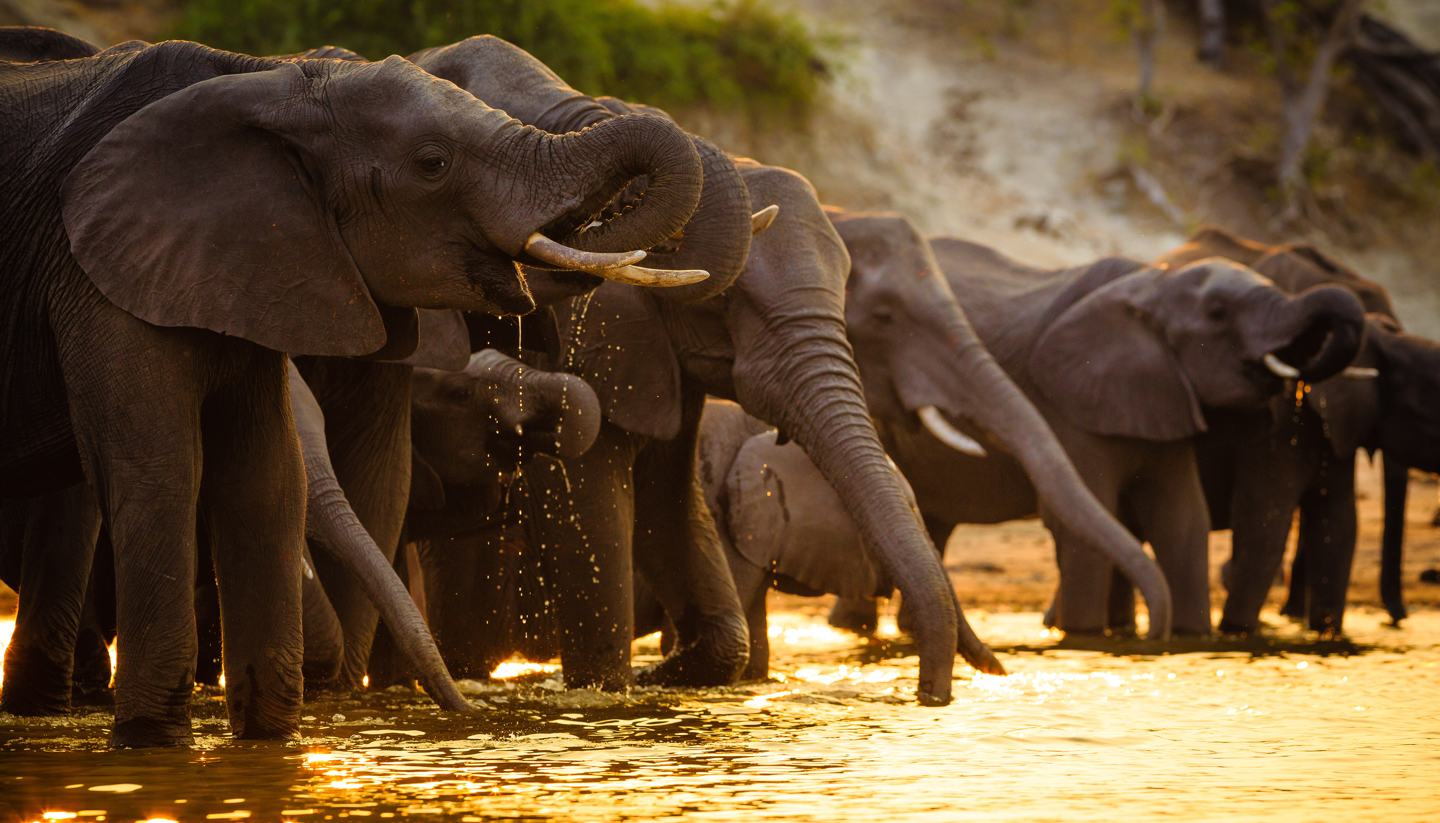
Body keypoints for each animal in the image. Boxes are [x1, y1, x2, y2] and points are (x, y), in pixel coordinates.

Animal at [0, 40, 706, 746]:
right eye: (432, 163)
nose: (471, 713)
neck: (266, 78)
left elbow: (267, 477)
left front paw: (268, 744)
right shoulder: (93, 273)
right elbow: (160, 474)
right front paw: (155, 746)